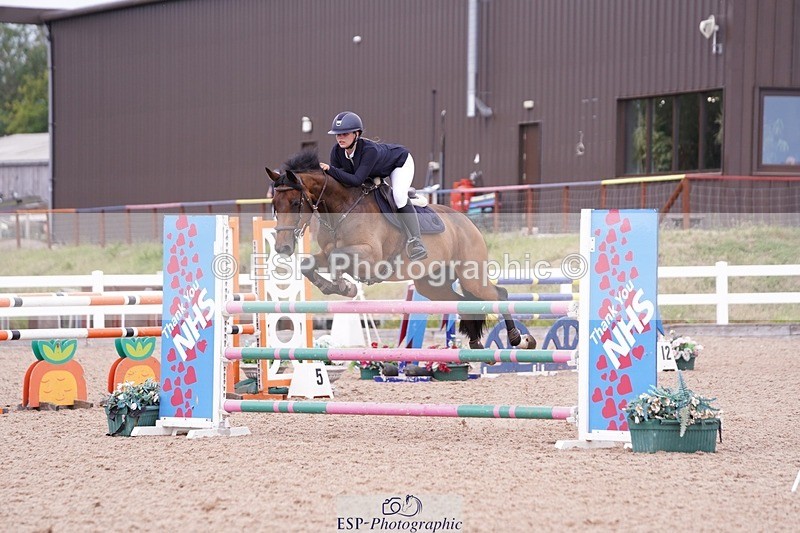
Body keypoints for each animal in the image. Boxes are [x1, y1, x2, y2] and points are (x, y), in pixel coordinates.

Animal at [265, 150, 536, 350]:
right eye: (274, 204)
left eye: (295, 202)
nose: (283, 247)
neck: (341, 208)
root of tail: (468, 223)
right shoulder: (327, 252)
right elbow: (310, 264)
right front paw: (336, 286)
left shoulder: (370, 256)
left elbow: (337, 257)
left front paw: (344, 285)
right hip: (431, 284)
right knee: (462, 303)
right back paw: (476, 342)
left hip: (471, 275)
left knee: (498, 295)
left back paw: (520, 339)